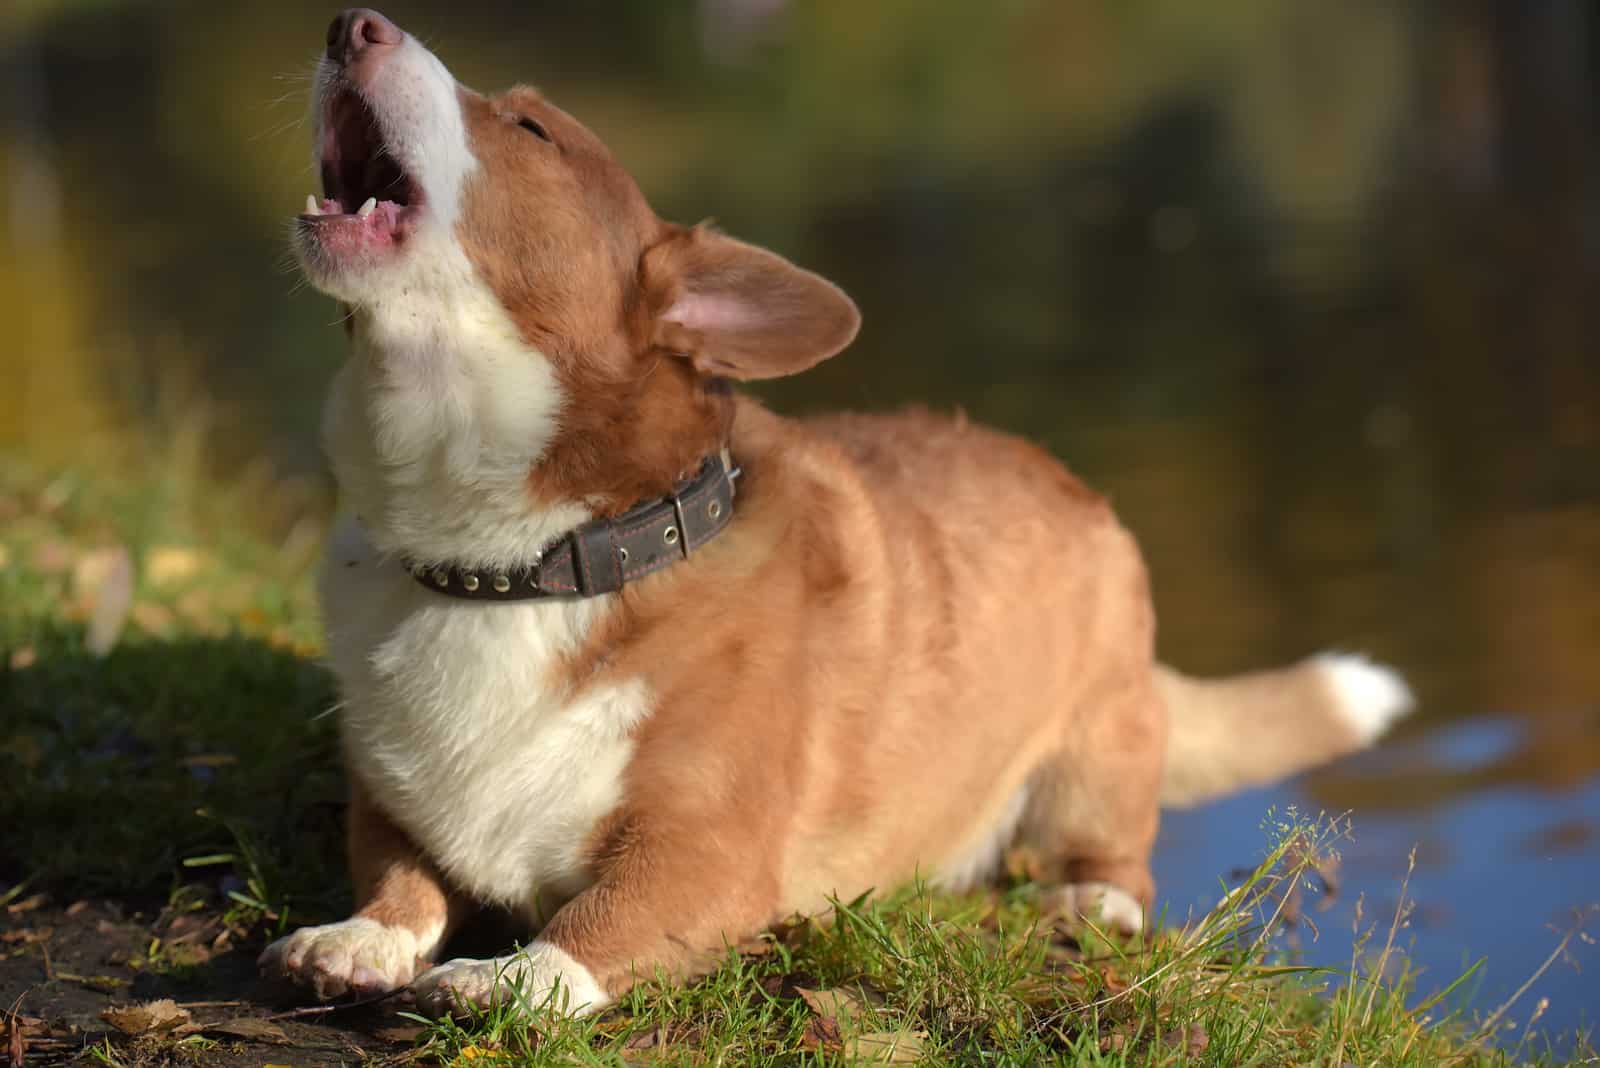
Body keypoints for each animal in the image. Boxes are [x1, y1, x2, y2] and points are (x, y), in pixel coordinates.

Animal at [259, 4, 1414, 1016]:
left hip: (1098, 750)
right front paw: (360, 939)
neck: (517, 564)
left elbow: (591, 927)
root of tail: (1068, 481)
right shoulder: (391, 805)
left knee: (1115, 854)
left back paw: (1093, 897)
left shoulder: (706, 855)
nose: (351, 23)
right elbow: (400, 878)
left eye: (532, 128)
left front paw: (506, 980)